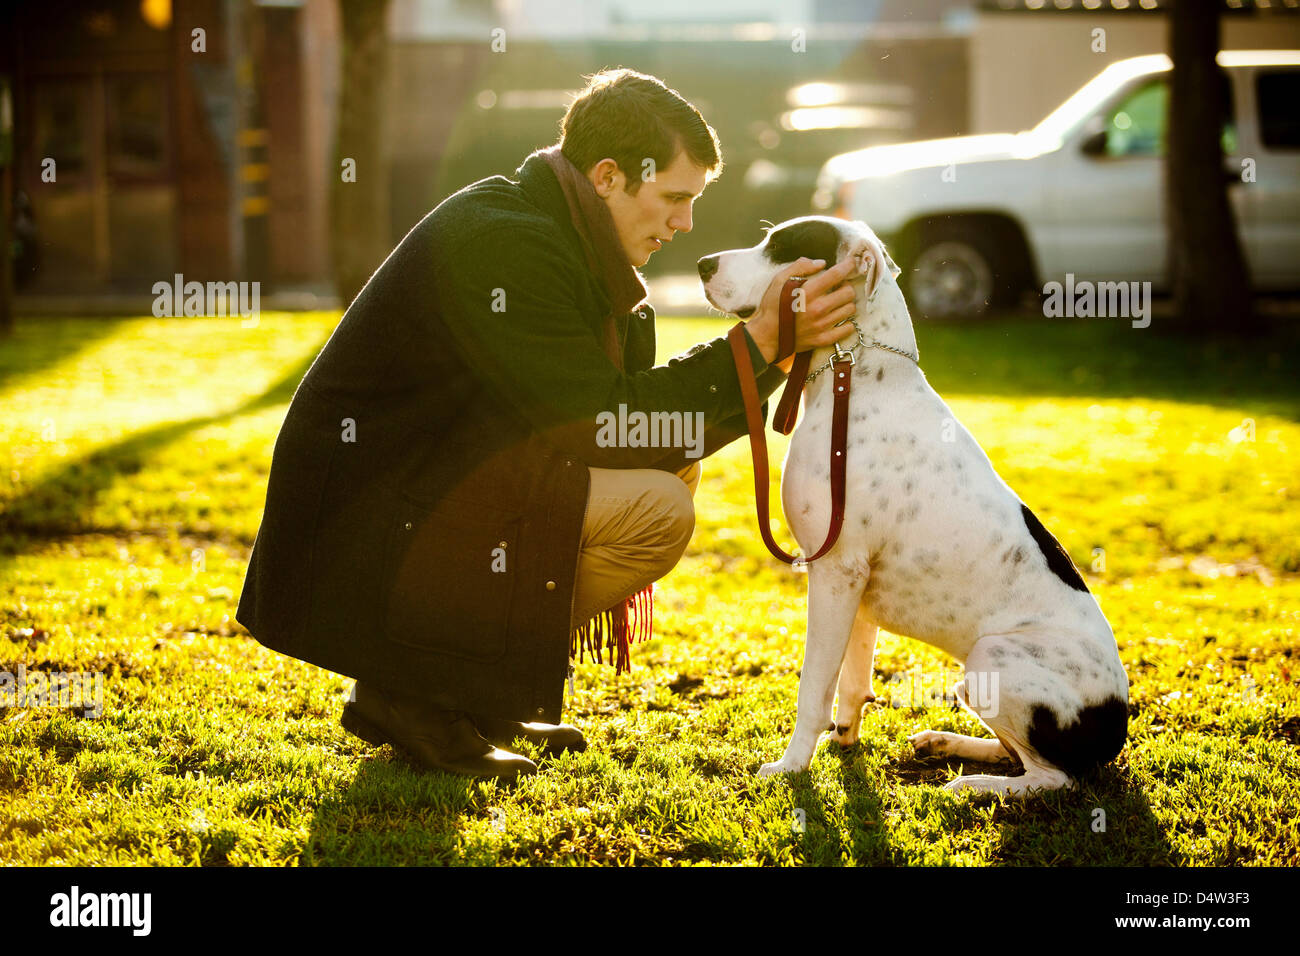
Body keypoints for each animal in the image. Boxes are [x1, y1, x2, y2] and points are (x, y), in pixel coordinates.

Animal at [702, 218, 1128, 801]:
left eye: (782, 248)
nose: (703, 264)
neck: (856, 372)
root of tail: (1118, 725)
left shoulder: (834, 571)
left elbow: (815, 687)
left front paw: (791, 767)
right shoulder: (853, 587)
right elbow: (852, 681)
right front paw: (844, 742)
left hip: (992, 659)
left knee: (1051, 778)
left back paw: (972, 785)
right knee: (1017, 756)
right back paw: (947, 744)